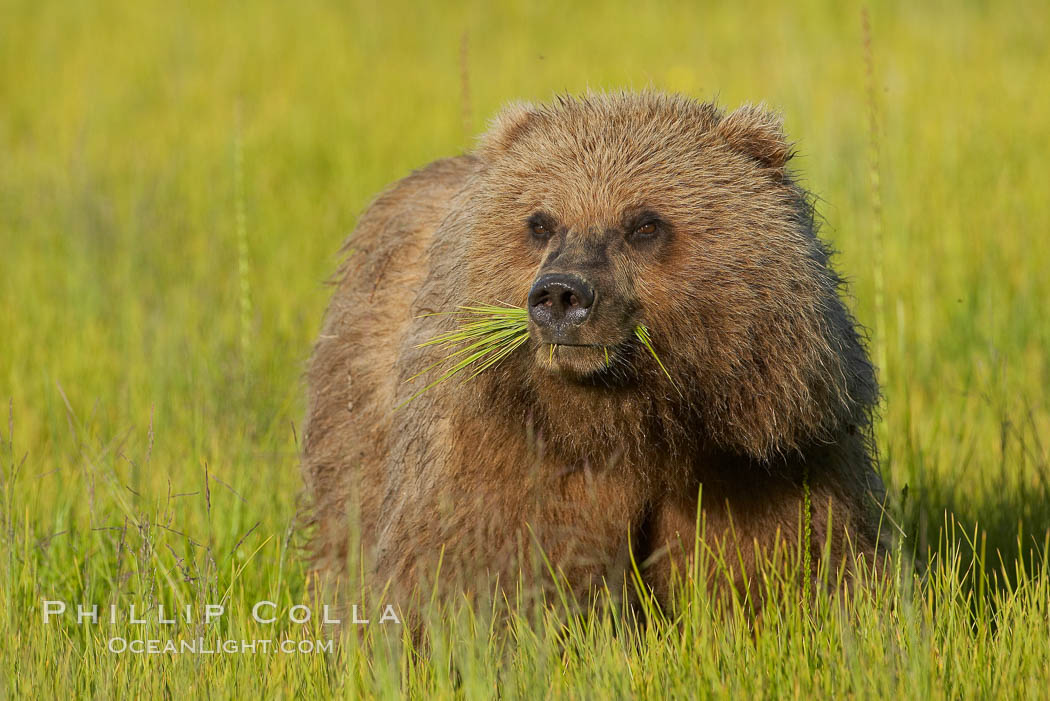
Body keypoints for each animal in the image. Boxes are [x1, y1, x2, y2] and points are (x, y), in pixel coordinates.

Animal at [300, 89, 890, 612]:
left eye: (644, 223)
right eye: (540, 222)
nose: (561, 294)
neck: (630, 421)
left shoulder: (766, 462)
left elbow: (788, 570)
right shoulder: (504, 454)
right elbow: (485, 572)